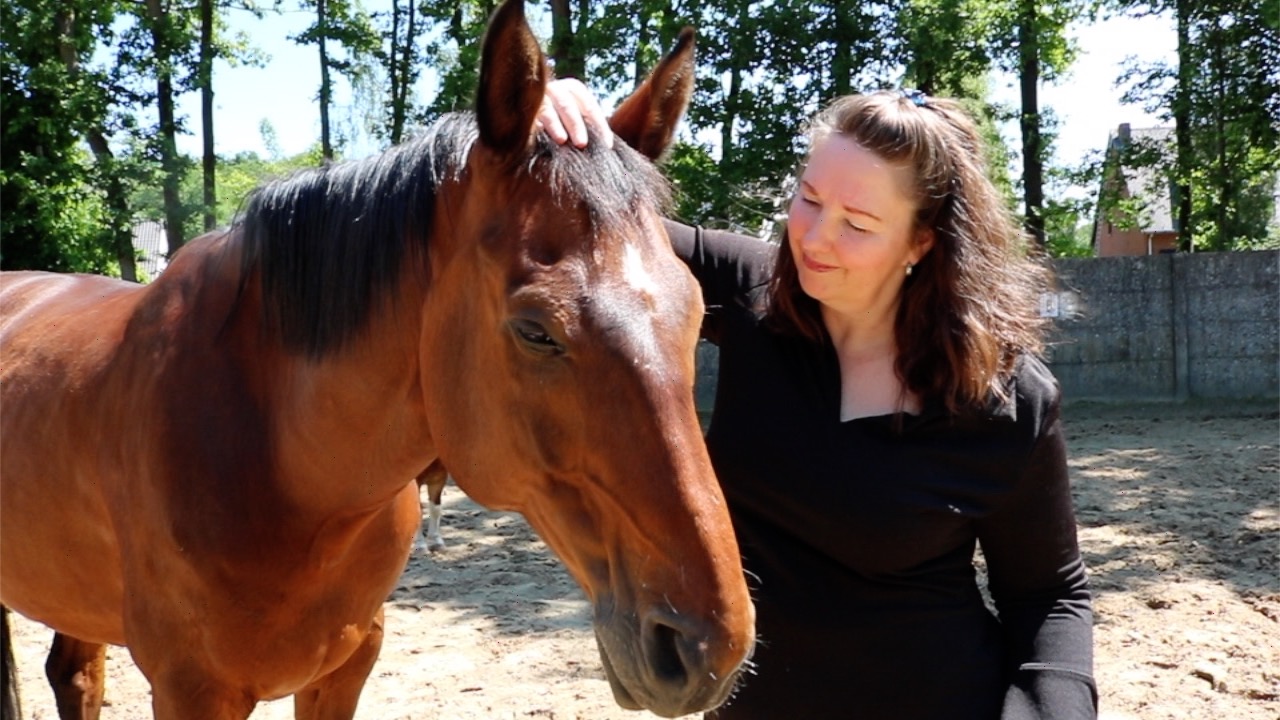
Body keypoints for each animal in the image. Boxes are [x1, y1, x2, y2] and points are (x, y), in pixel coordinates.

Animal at [0, 2, 752, 712]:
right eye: (536, 330)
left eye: (694, 309)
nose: (706, 648)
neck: (285, 463)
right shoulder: (190, 689)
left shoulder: (346, 667)